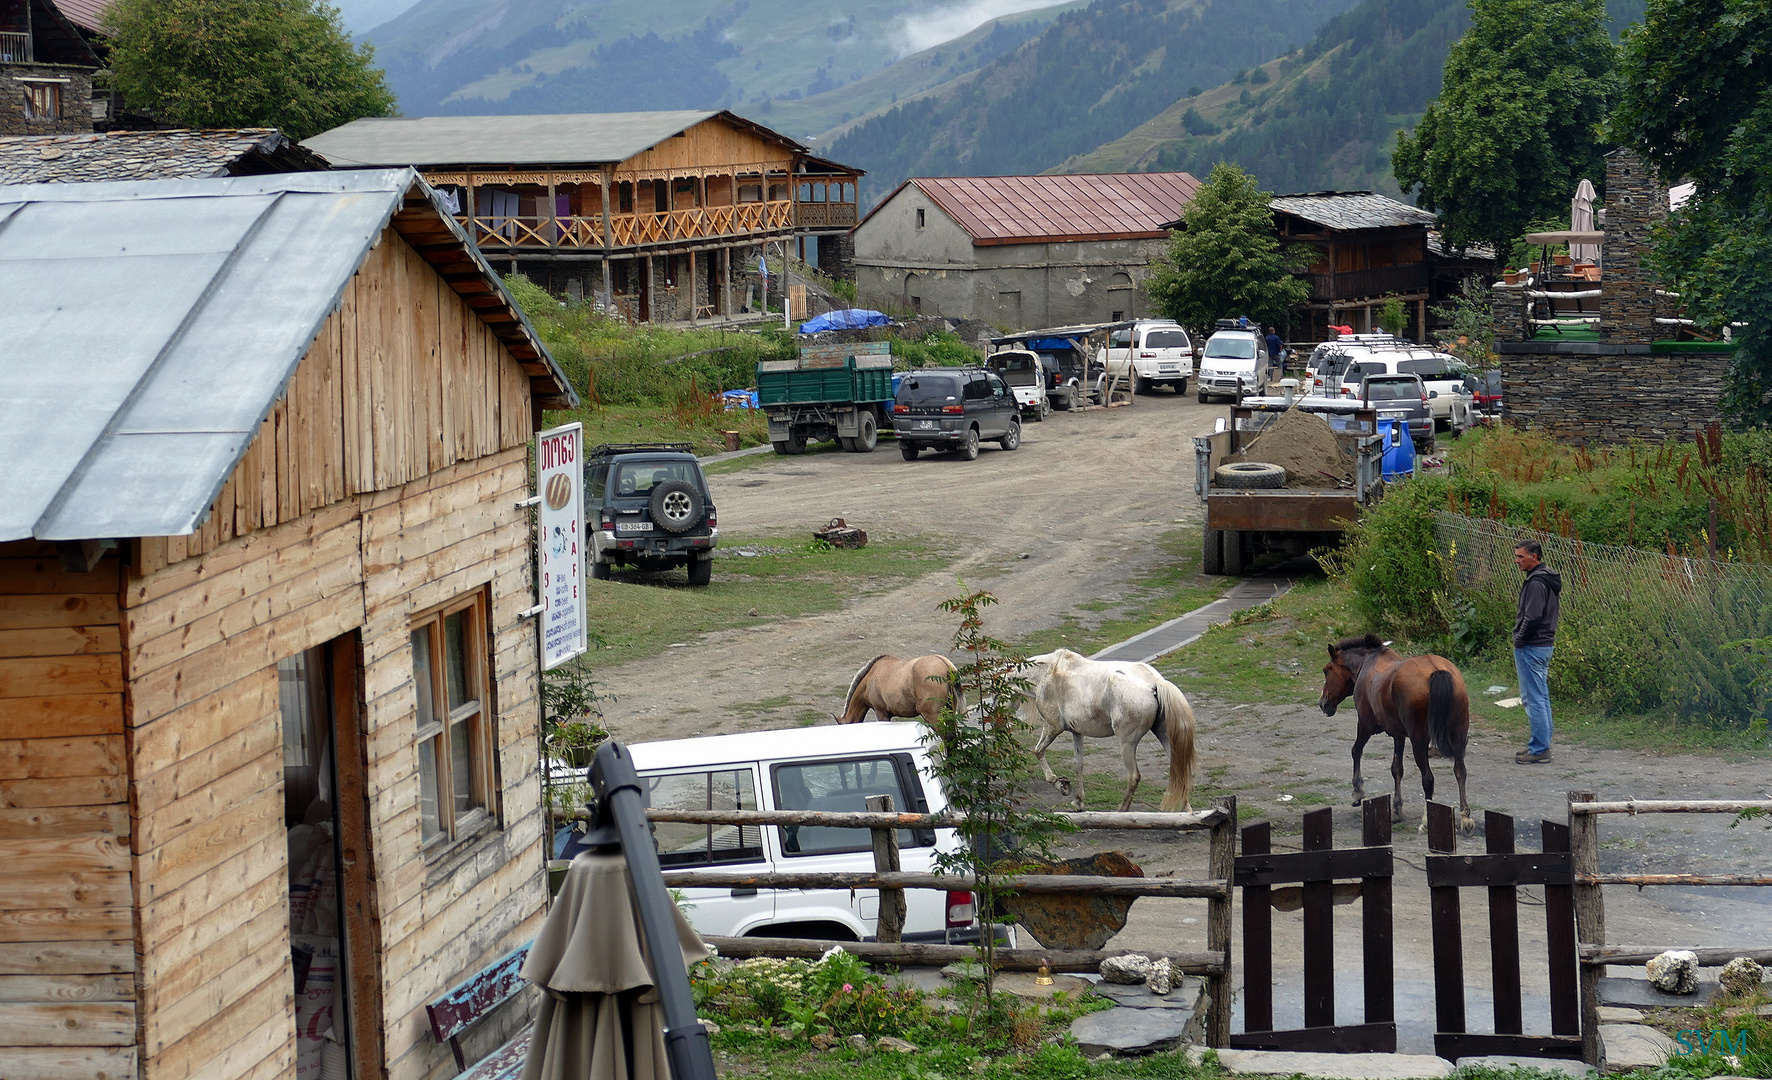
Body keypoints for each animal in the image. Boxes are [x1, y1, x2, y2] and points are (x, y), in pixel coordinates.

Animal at [1020, 649, 1197, 808]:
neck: (1048, 672)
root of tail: (1155, 684)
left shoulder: (1053, 726)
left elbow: (1038, 751)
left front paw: (1060, 785)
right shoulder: (1077, 732)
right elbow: (1078, 765)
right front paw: (1078, 801)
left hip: (1127, 743)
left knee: (1134, 777)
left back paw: (1122, 811)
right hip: (1165, 737)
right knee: (1178, 773)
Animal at [1325, 631, 1474, 833]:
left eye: (1326, 670)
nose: (1323, 703)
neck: (1368, 662)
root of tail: (1437, 670)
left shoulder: (1365, 725)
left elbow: (1356, 751)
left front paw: (1357, 792)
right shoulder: (1398, 734)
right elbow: (1397, 769)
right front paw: (1396, 808)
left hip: (1419, 741)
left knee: (1428, 778)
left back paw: (1426, 820)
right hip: (1458, 737)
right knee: (1460, 771)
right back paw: (1465, 816)